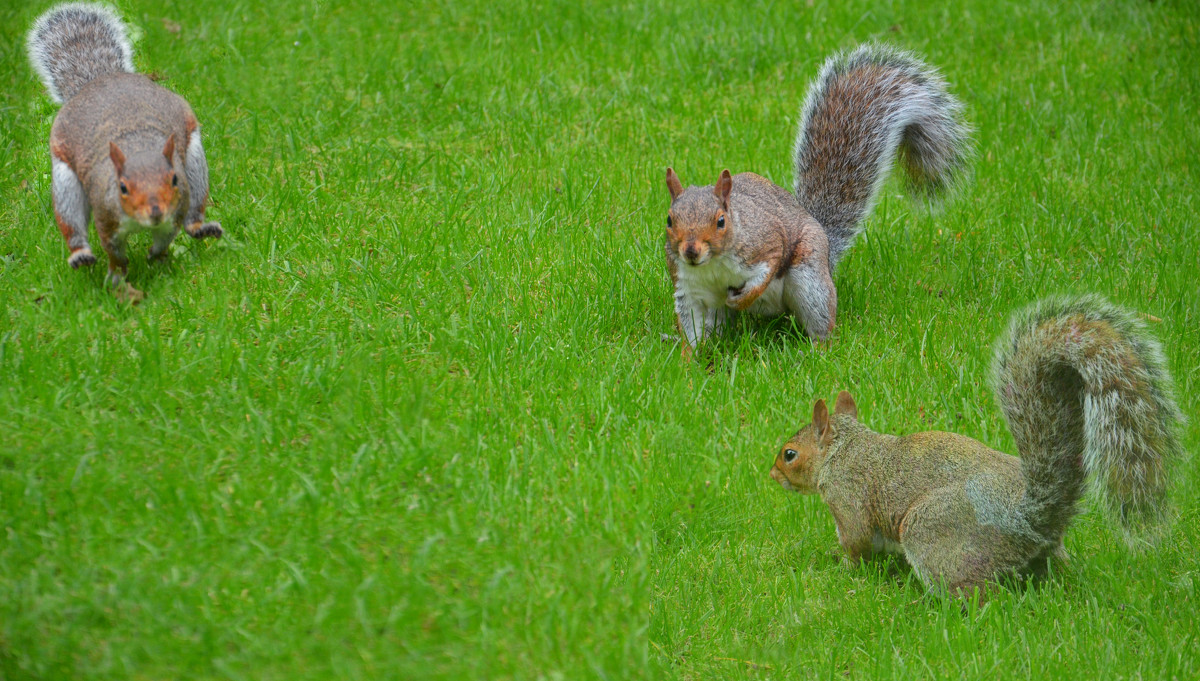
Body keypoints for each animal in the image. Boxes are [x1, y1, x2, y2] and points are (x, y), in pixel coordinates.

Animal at [27, 1, 222, 300]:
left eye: (174, 180)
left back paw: (199, 227)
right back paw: (80, 253)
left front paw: (157, 256)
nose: (155, 212)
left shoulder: (176, 209)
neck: (138, 147)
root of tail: (101, 81)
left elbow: (167, 237)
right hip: (64, 180)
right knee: (71, 220)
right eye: (122, 187)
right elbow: (114, 253)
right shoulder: (107, 218)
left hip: (195, 164)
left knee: (195, 210)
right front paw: (118, 275)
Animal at [662, 43, 969, 354]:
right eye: (670, 220)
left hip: (810, 279)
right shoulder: (688, 288)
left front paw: (744, 298)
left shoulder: (765, 244)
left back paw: (816, 349)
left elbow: (767, 270)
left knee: (820, 320)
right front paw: (688, 356)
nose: (690, 251)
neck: (713, 264)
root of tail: (826, 252)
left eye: (721, 221)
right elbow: (693, 326)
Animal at [768, 294, 1180, 599]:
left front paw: (840, 566)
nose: (772, 474)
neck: (845, 448)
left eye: (790, 454)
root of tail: (1027, 516)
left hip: (931, 531)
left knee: (976, 594)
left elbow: (855, 541)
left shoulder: (847, 496)